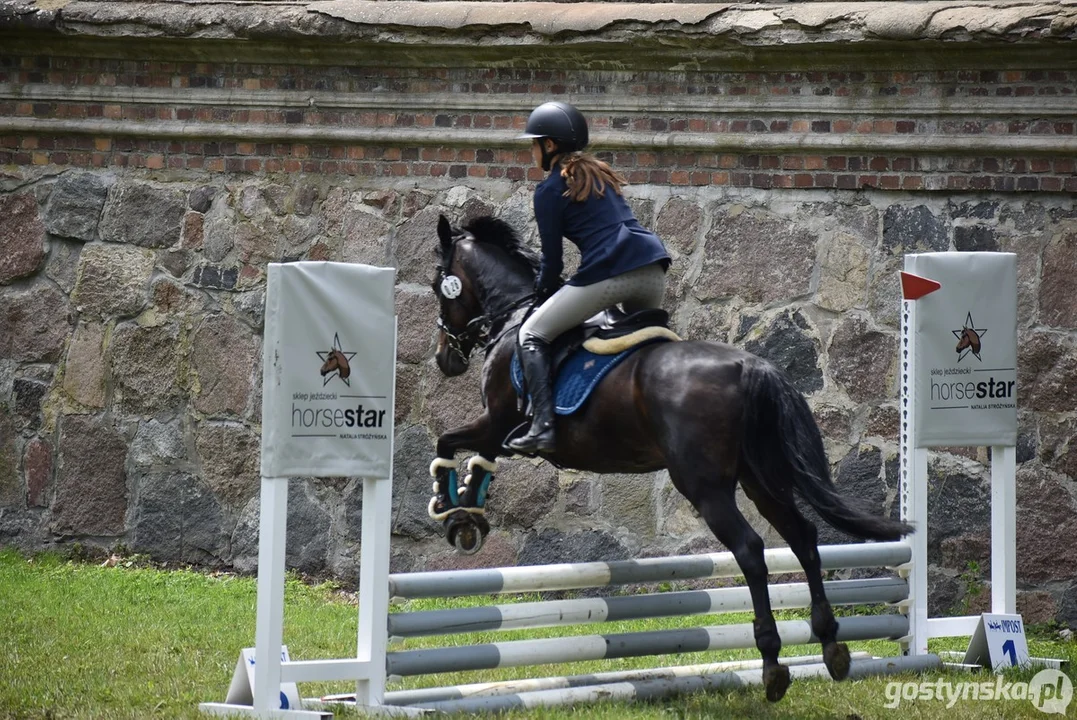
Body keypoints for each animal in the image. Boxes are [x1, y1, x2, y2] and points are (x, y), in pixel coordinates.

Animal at [424, 213, 913, 701]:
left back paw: (772, 663)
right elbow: (477, 464)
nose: (446, 359)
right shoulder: (496, 433)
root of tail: (751, 366)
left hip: (702, 485)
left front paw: (451, 510)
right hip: (761, 478)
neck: (513, 317)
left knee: (750, 550)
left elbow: (447, 443)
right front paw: (467, 518)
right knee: (804, 538)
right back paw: (831, 645)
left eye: (437, 285)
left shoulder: (496, 423)